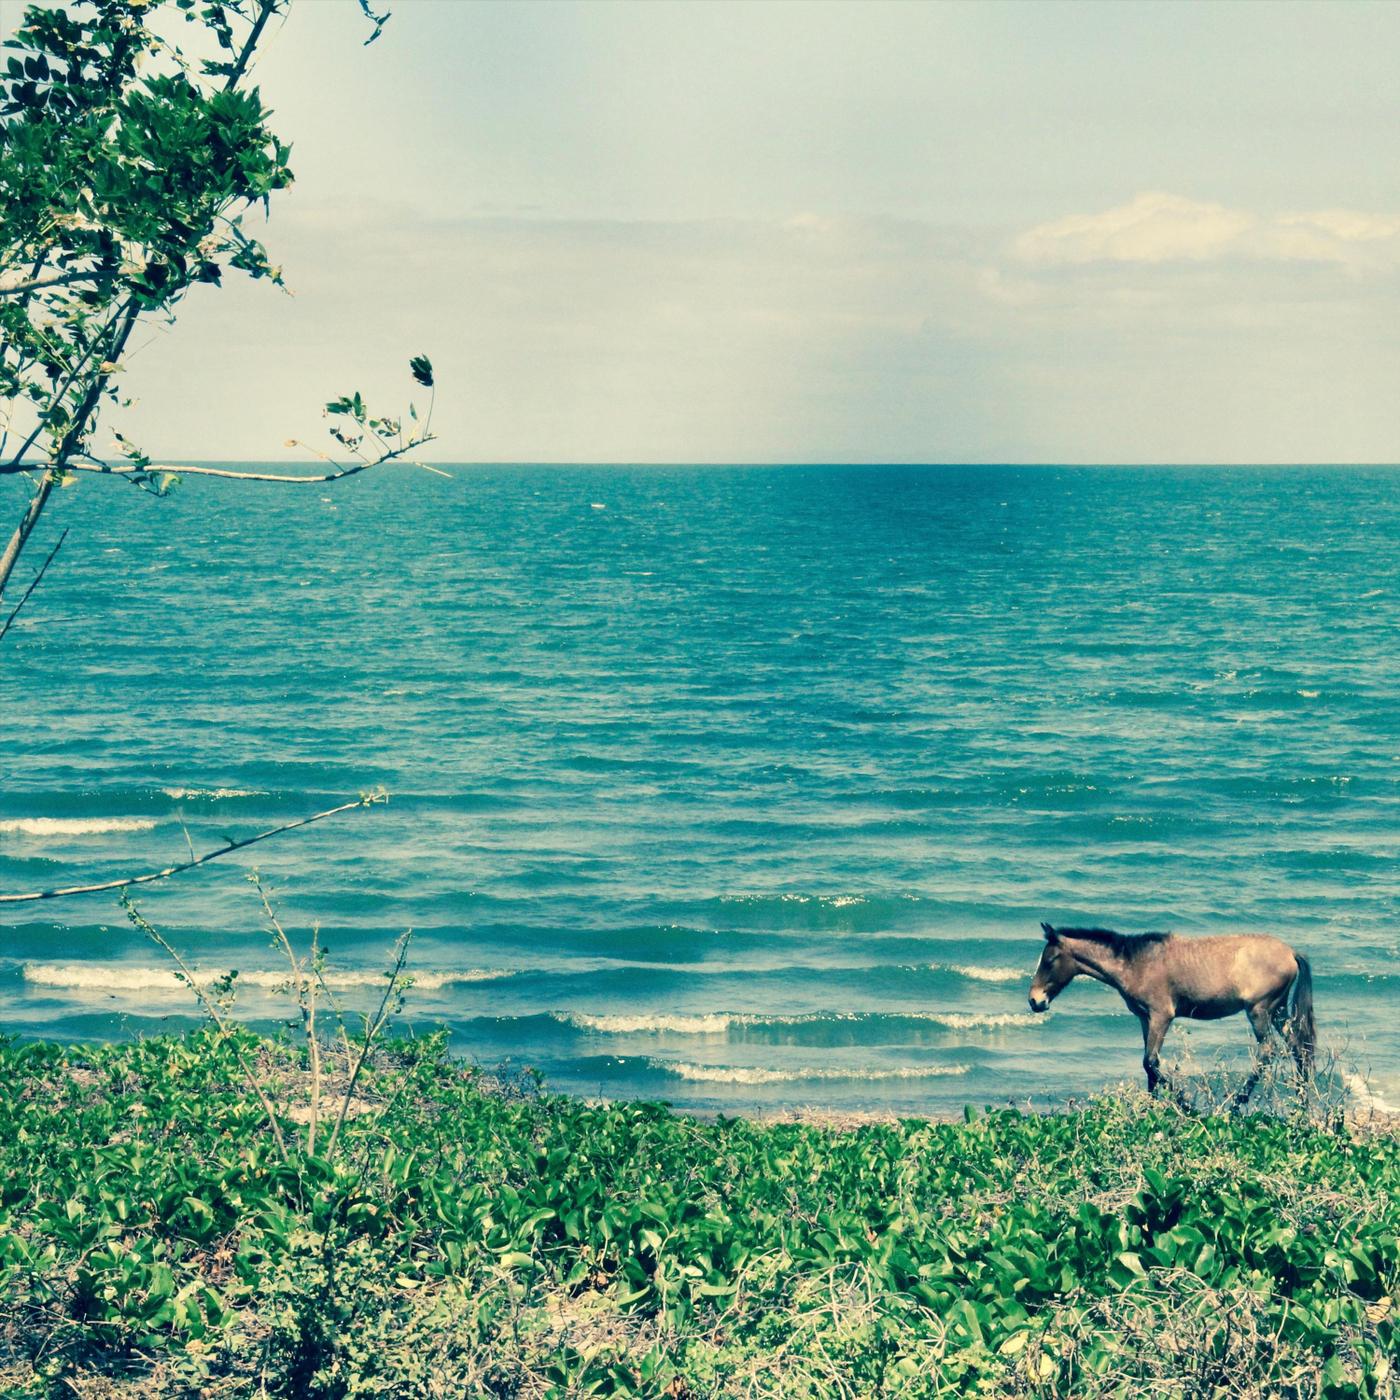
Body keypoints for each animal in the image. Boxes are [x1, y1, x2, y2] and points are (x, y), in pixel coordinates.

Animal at [1030, 918, 1310, 1103]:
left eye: (1050, 960)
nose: (1035, 1001)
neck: (1136, 963)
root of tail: (1290, 952)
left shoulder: (1161, 1017)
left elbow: (1151, 1062)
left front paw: (1186, 1104)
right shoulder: (1145, 1019)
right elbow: (1148, 1068)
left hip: (1259, 1011)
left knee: (1268, 1051)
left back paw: (1237, 1104)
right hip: (1278, 1011)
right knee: (1297, 1047)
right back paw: (1302, 1102)